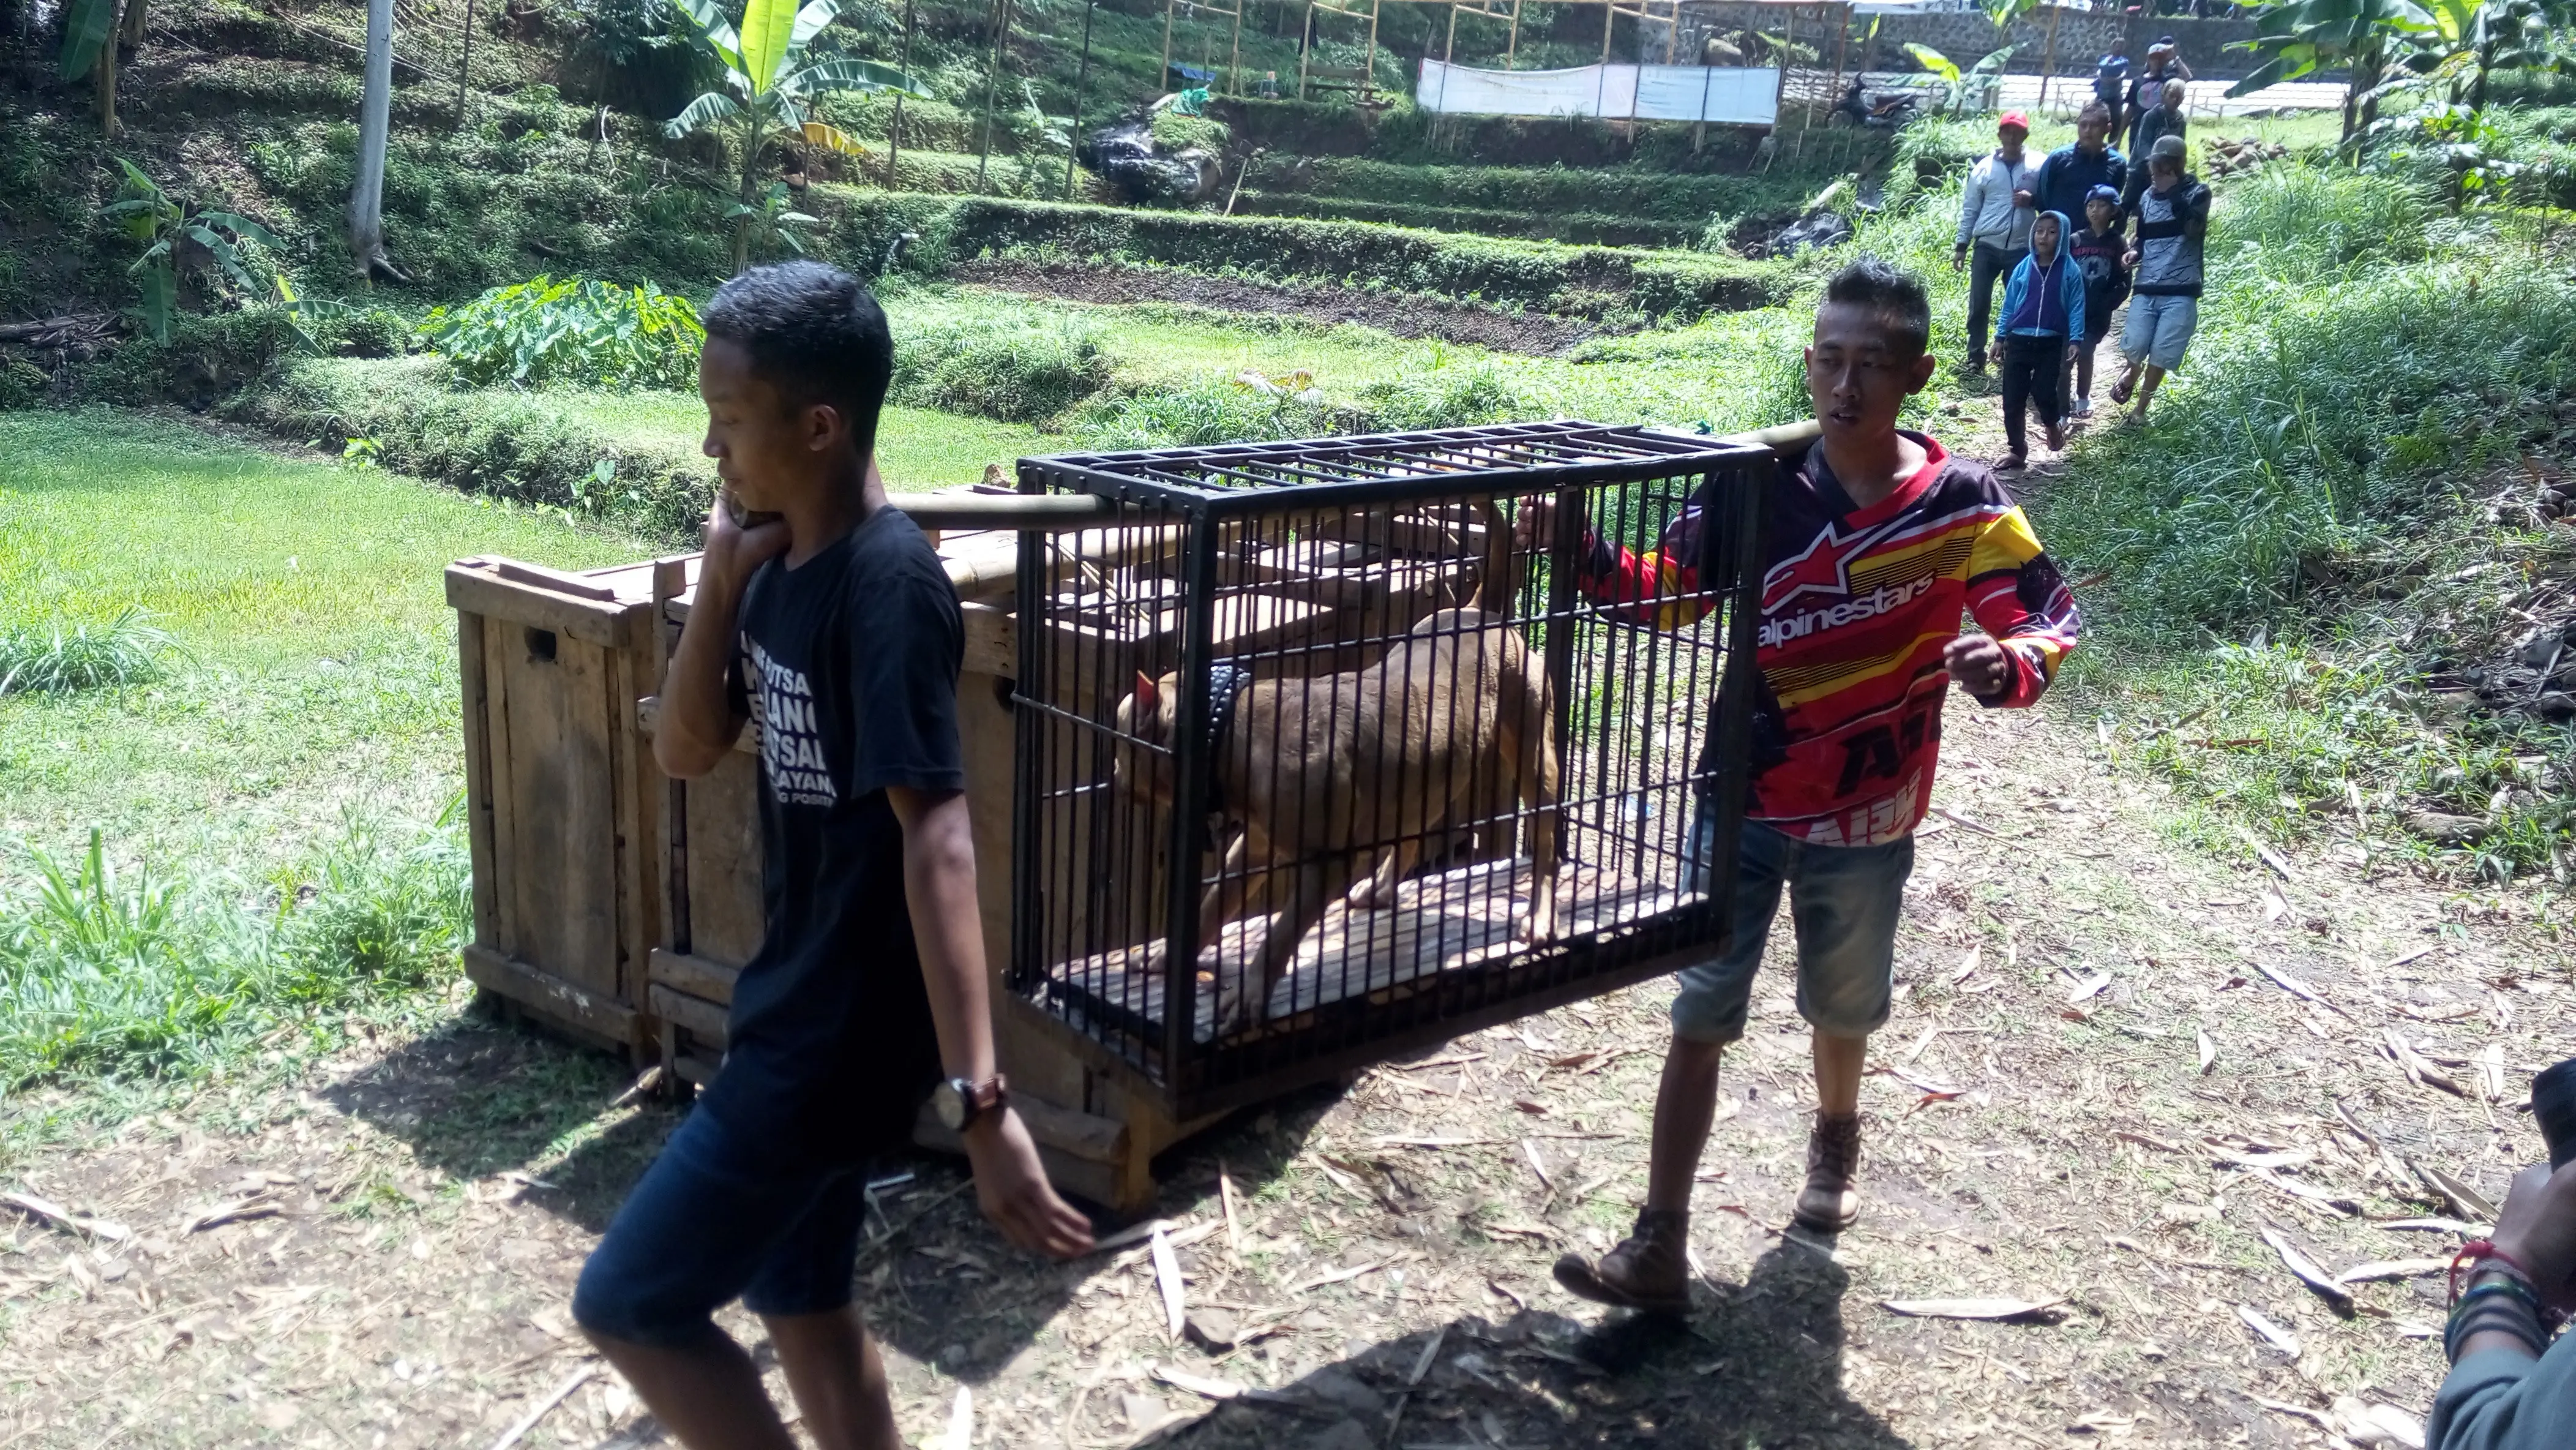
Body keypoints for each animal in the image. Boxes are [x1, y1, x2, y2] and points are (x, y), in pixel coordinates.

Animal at [1112, 499, 1556, 1030]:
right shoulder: (1253, 844)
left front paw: (1249, 994)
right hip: (1425, 778)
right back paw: (1381, 891)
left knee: (1546, 837)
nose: (1113, 777)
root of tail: (1481, 611)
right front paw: (1164, 958)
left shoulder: (1323, 864)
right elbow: (1213, 903)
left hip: (1533, 750)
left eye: (1120, 742)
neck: (1228, 729)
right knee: (1413, 831)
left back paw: (1540, 917)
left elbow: (1280, 935)